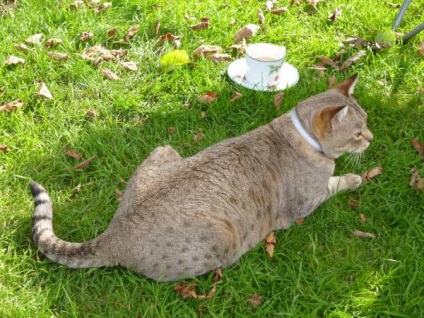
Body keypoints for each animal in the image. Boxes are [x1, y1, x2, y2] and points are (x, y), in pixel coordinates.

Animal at [29, 74, 372, 280]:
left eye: (367, 121)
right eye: (357, 134)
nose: (371, 138)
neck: (299, 133)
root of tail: (114, 233)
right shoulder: (305, 203)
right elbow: (337, 182)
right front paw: (356, 177)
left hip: (164, 149)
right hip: (225, 239)